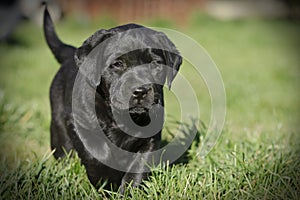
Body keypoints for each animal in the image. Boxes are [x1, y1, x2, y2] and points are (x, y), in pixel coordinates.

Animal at [43, 6, 182, 192]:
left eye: (155, 64)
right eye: (117, 64)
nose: (140, 91)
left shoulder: (151, 137)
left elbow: (139, 165)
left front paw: (129, 190)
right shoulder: (80, 124)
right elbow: (97, 153)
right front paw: (106, 181)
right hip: (59, 130)